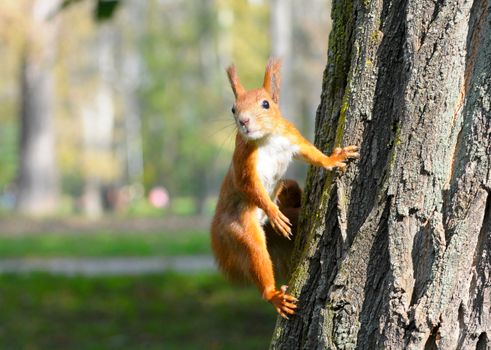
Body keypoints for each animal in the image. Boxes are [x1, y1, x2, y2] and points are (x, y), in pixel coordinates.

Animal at [210, 58, 358, 318]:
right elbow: (249, 187)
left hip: (286, 193)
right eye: (233, 109)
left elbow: (312, 154)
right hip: (242, 227)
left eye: (266, 104)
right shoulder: (243, 160)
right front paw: (272, 211)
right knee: (257, 255)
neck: (267, 138)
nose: (244, 122)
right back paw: (273, 294)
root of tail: (218, 223)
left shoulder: (291, 136)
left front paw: (332, 159)